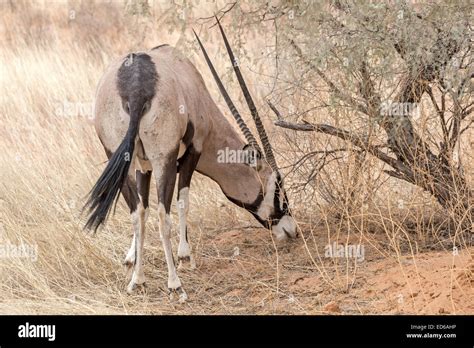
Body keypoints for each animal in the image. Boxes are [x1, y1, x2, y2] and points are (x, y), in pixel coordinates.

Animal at [83, 19, 294, 302]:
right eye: (277, 185)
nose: (291, 230)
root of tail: (135, 87)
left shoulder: (142, 165)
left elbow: (143, 206)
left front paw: (132, 258)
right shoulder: (191, 152)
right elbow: (183, 201)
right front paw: (185, 256)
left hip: (119, 155)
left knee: (137, 211)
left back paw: (138, 281)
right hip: (164, 157)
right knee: (164, 215)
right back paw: (175, 284)